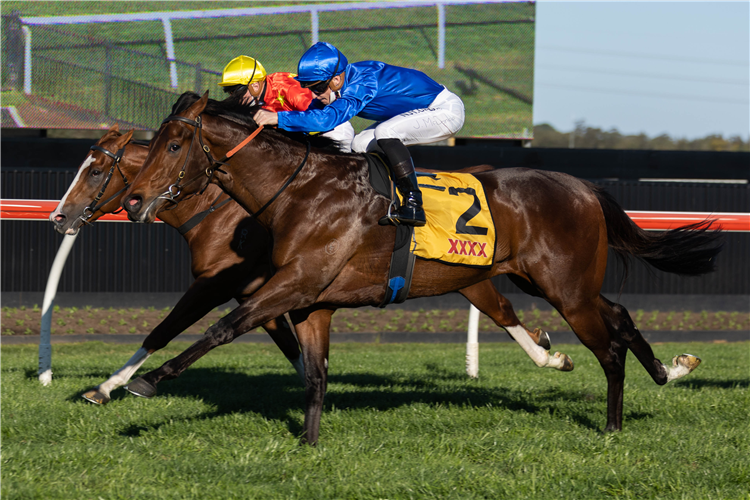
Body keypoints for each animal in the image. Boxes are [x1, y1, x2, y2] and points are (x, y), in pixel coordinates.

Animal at [49, 124, 550, 404]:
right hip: (463, 274)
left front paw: (107, 388)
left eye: (96, 172)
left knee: (504, 310)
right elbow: (289, 344)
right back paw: (549, 352)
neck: (219, 207)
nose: (59, 218)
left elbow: (162, 330)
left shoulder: (217, 284)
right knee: (502, 310)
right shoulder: (258, 290)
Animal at [121, 91, 722, 444]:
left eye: (173, 144)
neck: (302, 190)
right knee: (619, 314)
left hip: (566, 290)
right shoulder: (313, 300)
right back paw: (671, 369)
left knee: (609, 347)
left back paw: (613, 425)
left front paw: (146, 381)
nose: (133, 200)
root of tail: (584, 188)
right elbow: (314, 374)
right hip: (546, 280)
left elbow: (224, 326)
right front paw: (309, 444)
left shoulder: (295, 283)